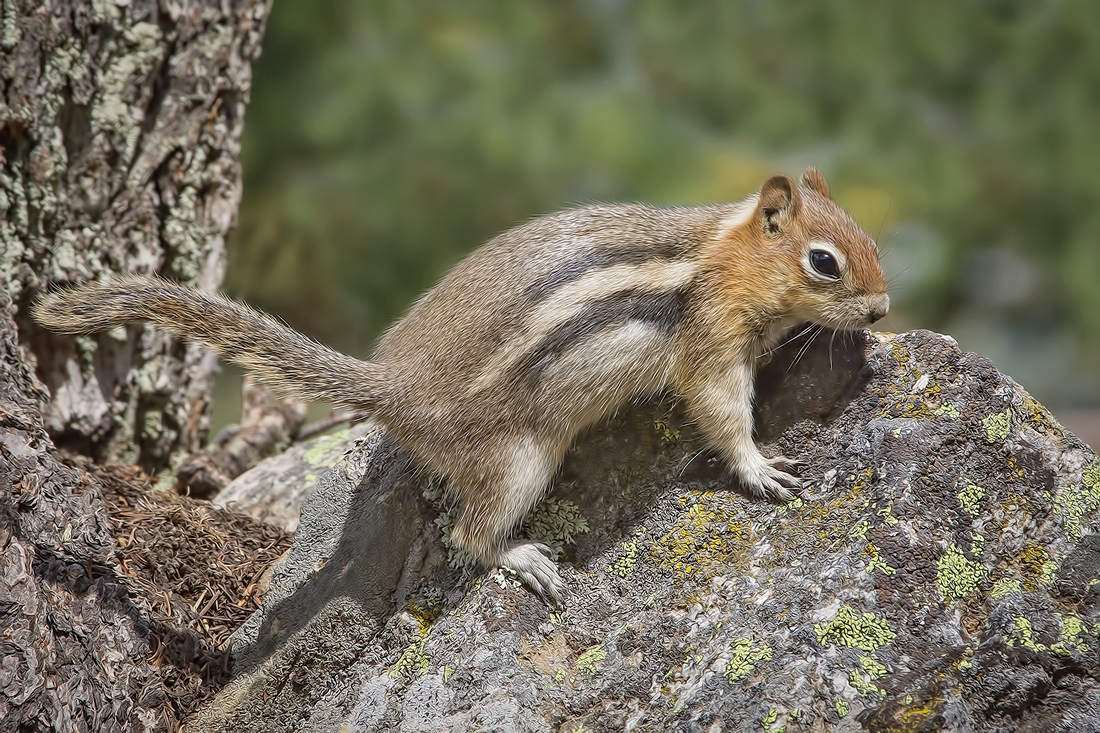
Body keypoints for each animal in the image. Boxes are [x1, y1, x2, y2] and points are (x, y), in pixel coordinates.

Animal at [34, 168, 888, 603]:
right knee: (467, 535)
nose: (882, 308)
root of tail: (394, 388)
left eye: (871, 241)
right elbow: (721, 412)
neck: (730, 258)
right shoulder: (710, 343)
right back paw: (523, 558)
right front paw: (760, 467)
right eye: (824, 261)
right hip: (518, 459)